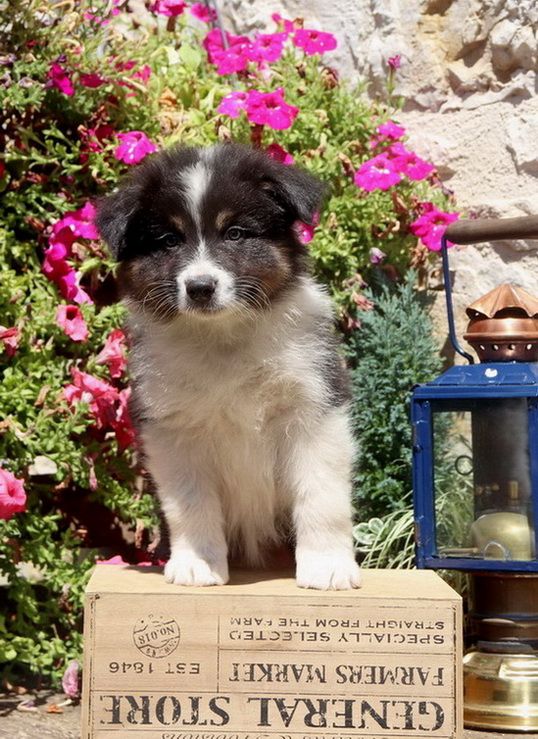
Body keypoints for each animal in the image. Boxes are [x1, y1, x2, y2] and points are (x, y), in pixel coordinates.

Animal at [96, 142, 361, 590]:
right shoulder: (172, 429)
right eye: (169, 240)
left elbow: (321, 495)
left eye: (235, 233)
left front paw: (326, 567)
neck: (224, 337)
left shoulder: (314, 408)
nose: (200, 288)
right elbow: (190, 502)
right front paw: (198, 564)